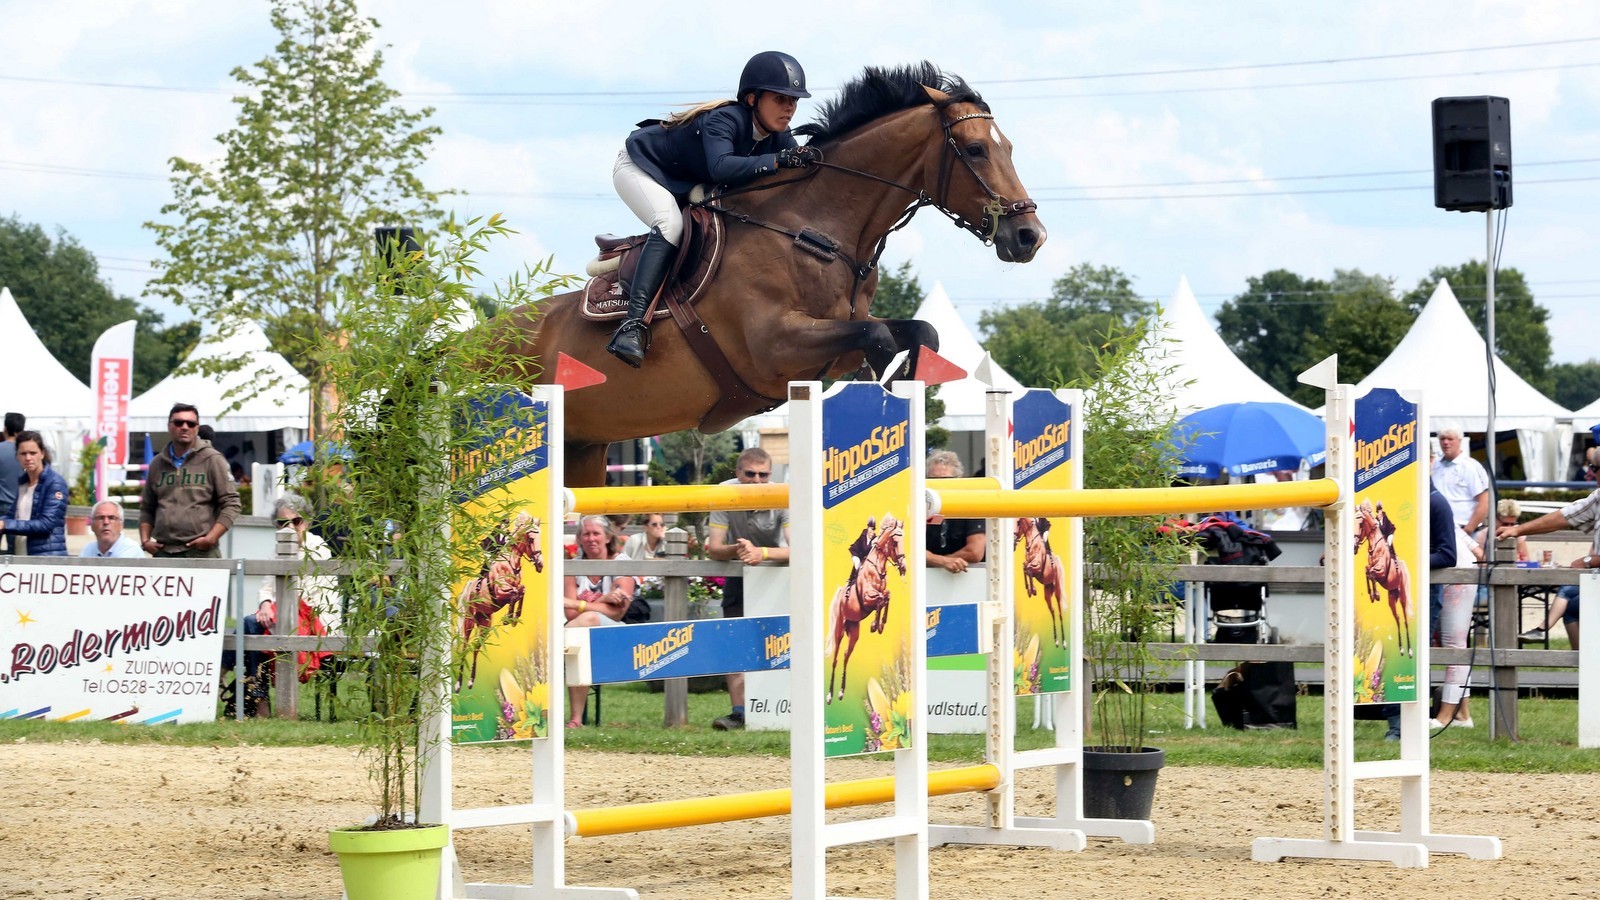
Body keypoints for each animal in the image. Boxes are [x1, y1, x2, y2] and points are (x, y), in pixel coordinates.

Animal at [457, 512, 544, 685]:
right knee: (465, 645)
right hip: (468, 620)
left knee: (476, 646)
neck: (511, 562)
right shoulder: (499, 593)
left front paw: (513, 618)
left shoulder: (514, 589)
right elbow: (515, 593)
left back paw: (471, 681)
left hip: (485, 623)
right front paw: (509, 617)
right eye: (531, 539)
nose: (540, 565)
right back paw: (458, 684)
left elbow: (521, 591)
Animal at [492, 64, 1056, 483]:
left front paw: (903, 386)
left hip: (584, 450)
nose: (1030, 236)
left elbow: (920, 332)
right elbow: (876, 338)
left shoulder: (837, 334)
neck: (815, 228)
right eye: (977, 149)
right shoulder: (774, 347)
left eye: (1009, 147)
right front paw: (883, 394)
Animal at [832, 512, 908, 701]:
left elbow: (887, 596)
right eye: (895, 542)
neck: (877, 567)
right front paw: (875, 625)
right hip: (839, 630)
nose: (904, 568)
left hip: (853, 630)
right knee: (836, 657)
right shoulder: (867, 598)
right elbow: (880, 598)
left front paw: (879, 625)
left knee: (845, 655)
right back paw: (829, 695)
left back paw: (841, 691)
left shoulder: (881, 594)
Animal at [1017, 515, 1068, 646]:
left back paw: (1064, 642)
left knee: (1059, 612)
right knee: (1053, 610)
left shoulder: (1037, 567)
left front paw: (1032, 590)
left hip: (1057, 591)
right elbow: (1025, 567)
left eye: (1018, 523)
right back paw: (1056, 640)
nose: (1014, 539)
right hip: (1047, 591)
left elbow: (1028, 569)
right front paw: (1030, 590)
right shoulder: (1028, 564)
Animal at [1350, 493, 1414, 656]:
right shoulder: (1370, 568)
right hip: (1392, 597)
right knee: (1397, 618)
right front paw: (1373, 595)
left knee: (1405, 618)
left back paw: (1410, 650)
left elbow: (1372, 573)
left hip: (1402, 596)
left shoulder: (1381, 571)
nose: (1353, 547)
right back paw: (1401, 649)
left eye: (1360, 524)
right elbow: (1367, 571)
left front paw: (1375, 594)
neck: (1375, 545)